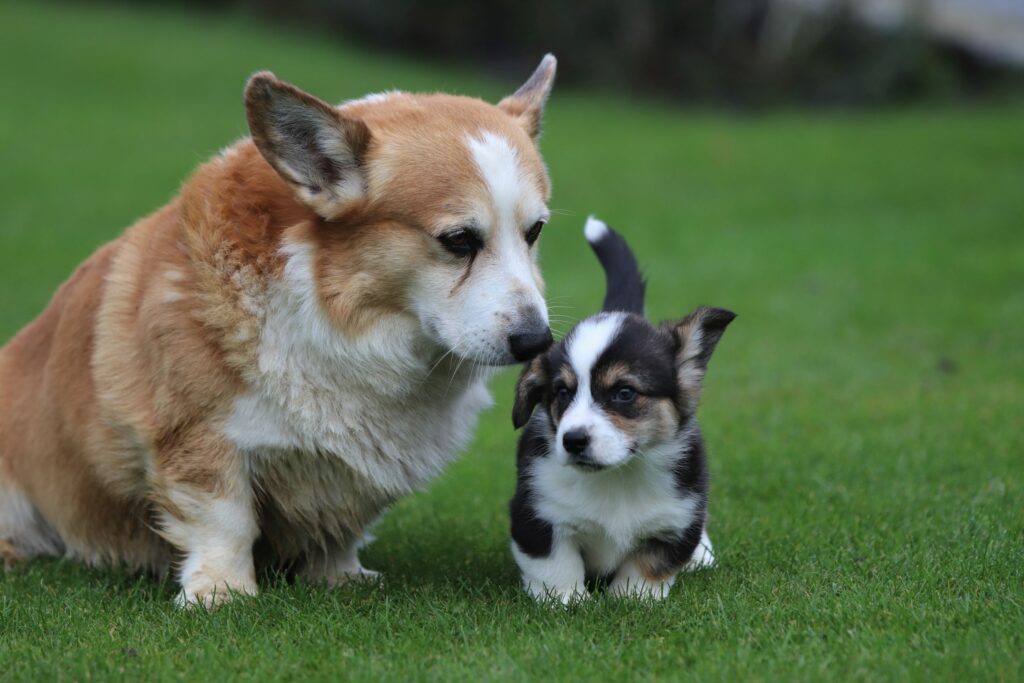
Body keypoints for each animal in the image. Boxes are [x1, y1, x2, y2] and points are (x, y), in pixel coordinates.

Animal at [0, 56, 561, 606]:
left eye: (534, 232)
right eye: (459, 240)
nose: (537, 341)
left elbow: (341, 528)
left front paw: (338, 574)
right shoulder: (198, 437)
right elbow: (224, 520)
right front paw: (222, 591)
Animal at [507, 219, 733, 602]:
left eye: (624, 393)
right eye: (562, 393)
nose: (573, 441)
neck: (616, 477)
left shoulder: (676, 519)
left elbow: (648, 565)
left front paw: (631, 600)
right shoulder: (536, 514)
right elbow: (556, 565)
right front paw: (567, 602)